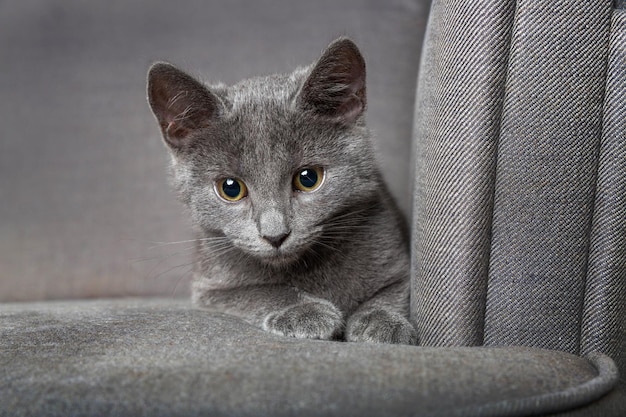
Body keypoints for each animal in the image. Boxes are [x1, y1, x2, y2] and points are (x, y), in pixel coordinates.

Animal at [143, 38, 412, 344]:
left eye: (308, 178)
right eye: (230, 188)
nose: (275, 235)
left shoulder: (395, 254)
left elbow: (393, 290)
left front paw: (382, 321)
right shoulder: (209, 289)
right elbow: (260, 291)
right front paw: (305, 311)